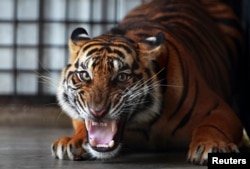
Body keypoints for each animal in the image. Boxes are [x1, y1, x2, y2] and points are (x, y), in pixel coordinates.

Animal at [50, 0, 244, 166]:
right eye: (84, 75)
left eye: (122, 77)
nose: (97, 112)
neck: (149, 123)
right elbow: (82, 124)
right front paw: (71, 142)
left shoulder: (219, 109)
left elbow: (210, 126)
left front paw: (213, 145)